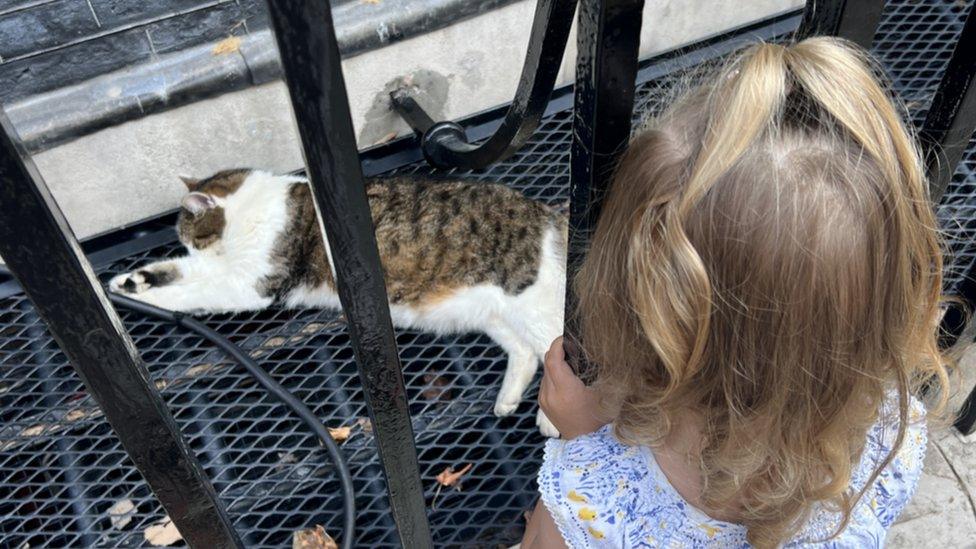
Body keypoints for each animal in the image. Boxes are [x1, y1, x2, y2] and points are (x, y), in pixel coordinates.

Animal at [108, 169, 564, 434]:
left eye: (191, 236)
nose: (192, 247)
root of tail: (545, 212)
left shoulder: (248, 283)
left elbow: (193, 291)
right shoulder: (226, 269)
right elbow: (179, 275)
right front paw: (131, 282)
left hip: (531, 306)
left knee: (561, 354)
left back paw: (550, 419)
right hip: (493, 314)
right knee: (525, 353)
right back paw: (508, 400)